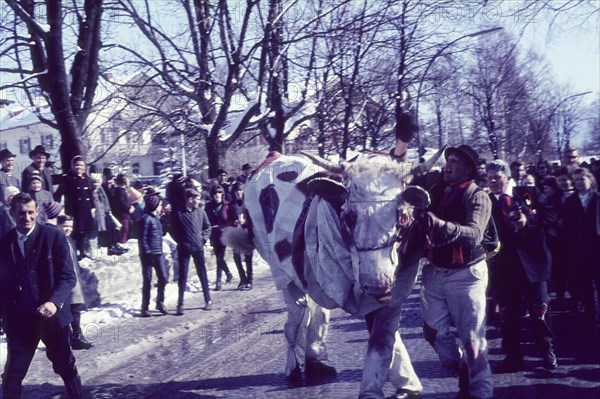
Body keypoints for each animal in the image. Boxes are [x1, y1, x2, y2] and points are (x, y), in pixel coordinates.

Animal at [227, 148, 442, 398]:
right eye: (349, 217)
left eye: (403, 217)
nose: (376, 284)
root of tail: (273, 156)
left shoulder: (394, 288)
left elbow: (383, 339)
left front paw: (406, 386)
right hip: (282, 272)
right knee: (295, 318)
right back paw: (293, 367)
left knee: (315, 311)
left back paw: (315, 361)